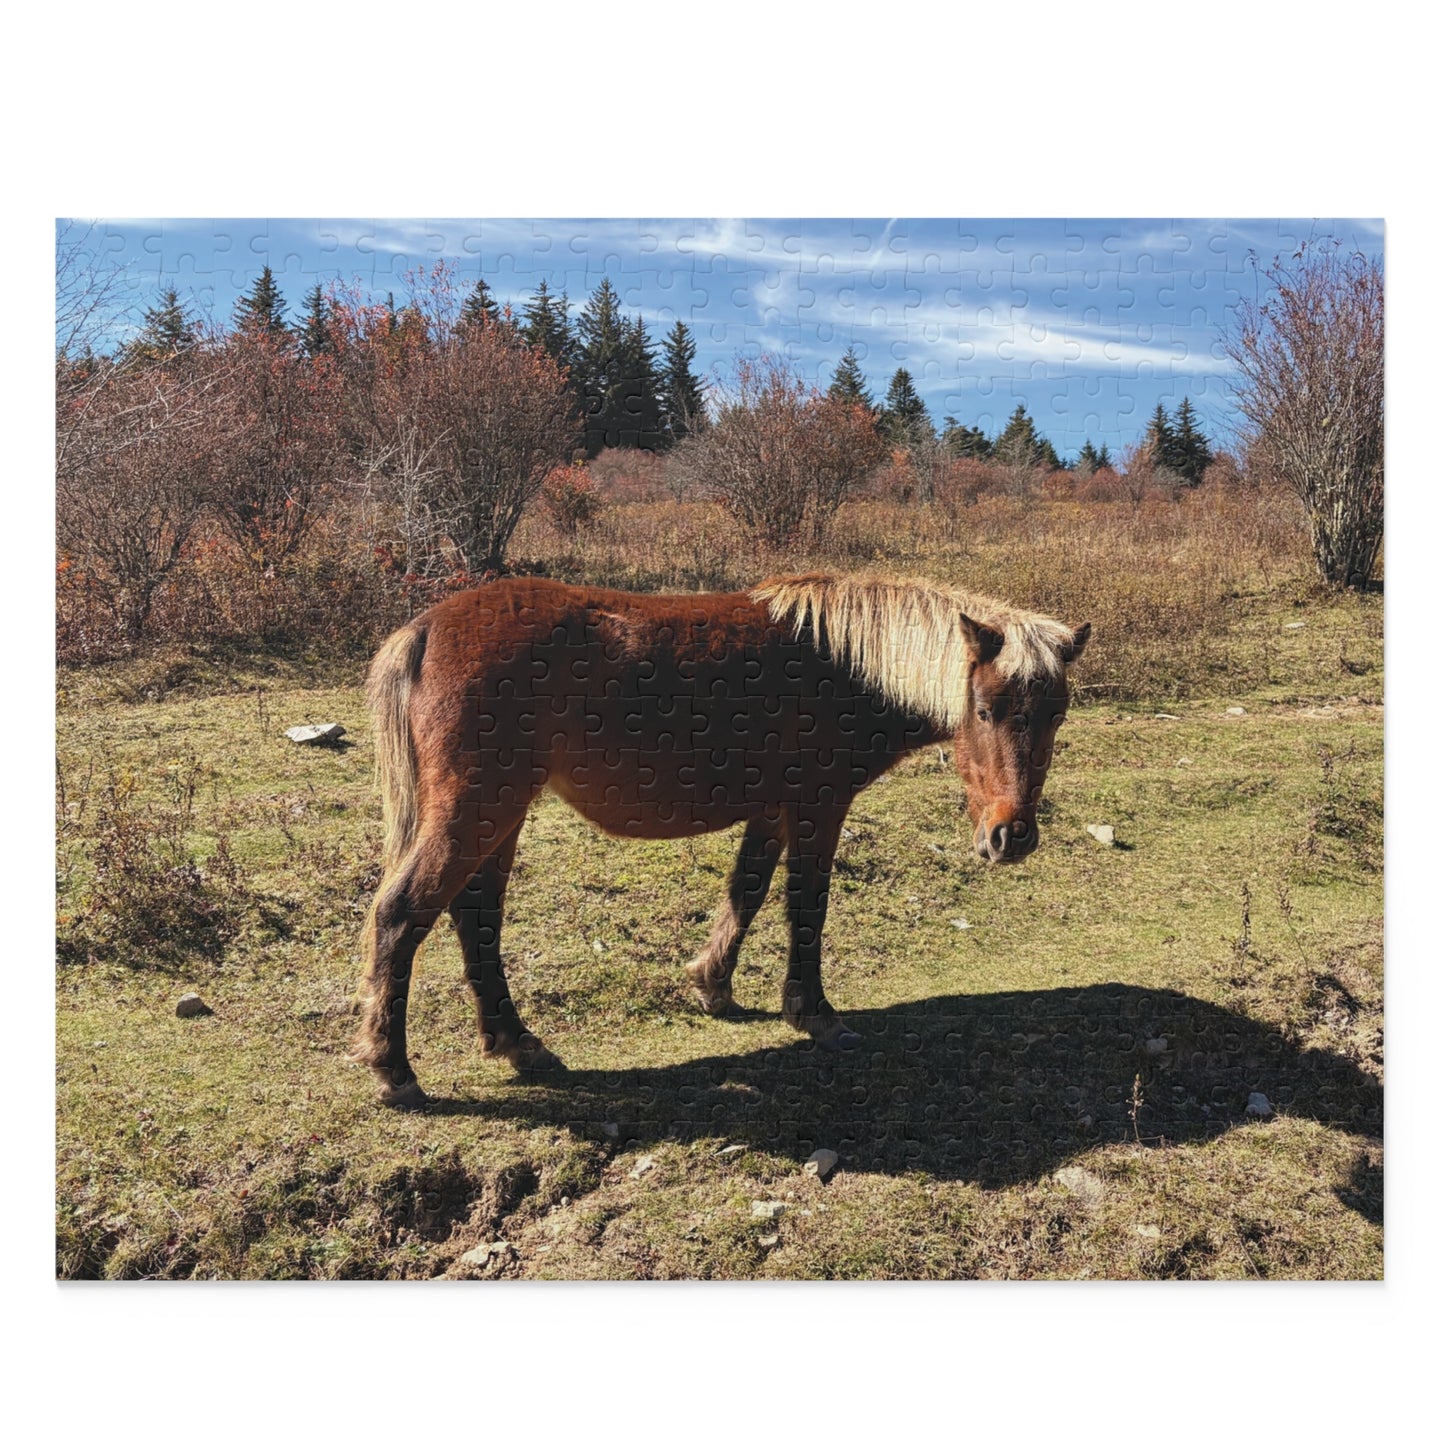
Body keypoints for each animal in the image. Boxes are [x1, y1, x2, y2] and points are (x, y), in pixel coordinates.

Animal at [353, 572, 1090, 1107]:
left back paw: (515, 1043)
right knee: (402, 914)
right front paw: (814, 1012)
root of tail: (424, 630)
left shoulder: (771, 811)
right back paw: (394, 1070)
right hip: (480, 809)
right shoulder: (818, 806)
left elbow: (747, 892)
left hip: (498, 818)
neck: (846, 665)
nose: (1011, 837)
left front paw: (712, 984)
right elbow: (805, 907)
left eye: (1056, 713)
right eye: (985, 710)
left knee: (474, 918)